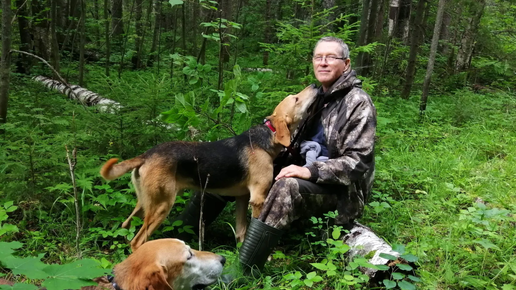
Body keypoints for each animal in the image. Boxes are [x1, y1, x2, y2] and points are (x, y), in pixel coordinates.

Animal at [100, 85, 318, 250]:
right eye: (296, 99)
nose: (315, 85)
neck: (268, 136)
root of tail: (146, 155)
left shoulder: (242, 198)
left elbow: (242, 232)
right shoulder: (258, 199)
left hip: (145, 203)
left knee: (126, 226)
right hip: (161, 206)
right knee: (137, 242)